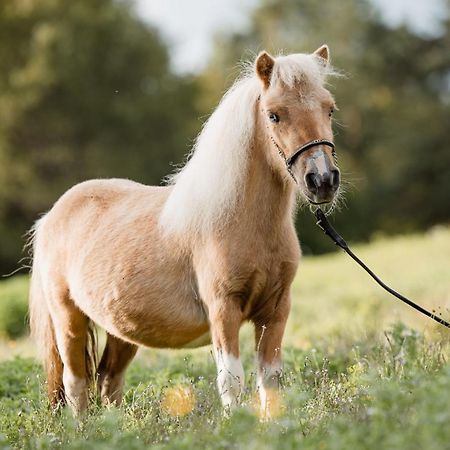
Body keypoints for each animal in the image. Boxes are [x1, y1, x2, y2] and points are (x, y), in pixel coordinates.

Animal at [29, 45, 340, 414]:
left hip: (121, 330)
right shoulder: (223, 311)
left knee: (108, 381)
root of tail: (53, 216)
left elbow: (271, 383)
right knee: (76, 385)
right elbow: (232, 381)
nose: (322, 180)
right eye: (275, 115)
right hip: (68, 321)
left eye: (330, 108)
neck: (239, 221)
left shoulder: (275, 312)